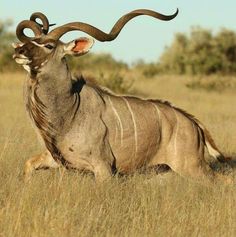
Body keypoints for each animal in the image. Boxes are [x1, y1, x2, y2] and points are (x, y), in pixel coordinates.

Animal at [12, 9, 230, 184]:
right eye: (28, 41)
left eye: (49, 46)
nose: (18, 51)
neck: (71, 109)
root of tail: (193, 123)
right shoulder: (56, 159)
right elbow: (29, 164)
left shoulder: (103, 168)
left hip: (193, 167)